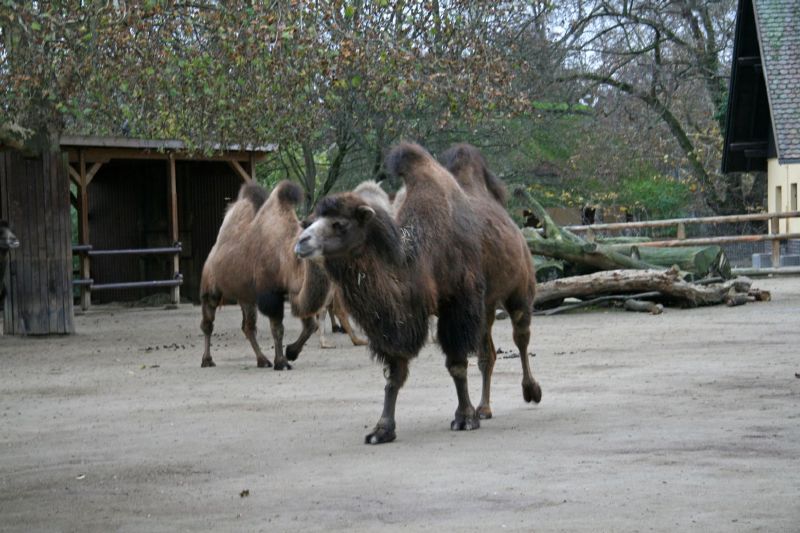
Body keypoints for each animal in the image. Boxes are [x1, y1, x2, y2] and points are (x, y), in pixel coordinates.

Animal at [202, 181, 330, 368]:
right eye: (312, 227)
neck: (287, 256)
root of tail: (212, 253)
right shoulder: (270, 292)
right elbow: (278, 329)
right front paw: (282, 362)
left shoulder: (293, 290)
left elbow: (310, 325)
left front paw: (291, 353)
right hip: (210, 286)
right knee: (208, 323)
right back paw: (207, 360)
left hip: (245, 295)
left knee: (248, 327)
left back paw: (262, 360)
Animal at [296, 140, 490, 440]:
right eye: (314, 219)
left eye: (340, 224)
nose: (302, 241)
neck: (422, 258)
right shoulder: (395, 322)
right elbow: (393, 375)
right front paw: (382, 429)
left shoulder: (458, 301)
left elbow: (457, 363)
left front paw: (466, 417)